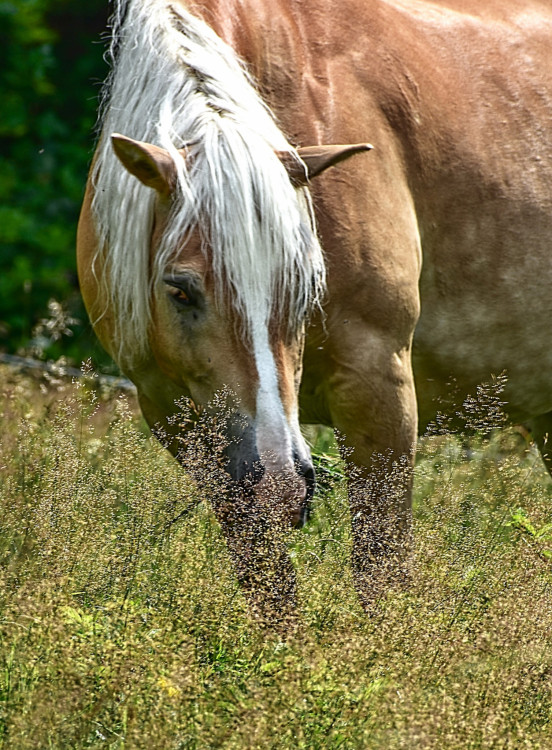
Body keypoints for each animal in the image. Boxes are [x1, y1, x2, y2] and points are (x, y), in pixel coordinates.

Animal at [76, 0, 552, 620]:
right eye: (180, 291)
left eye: (305, 287)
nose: (280, 480)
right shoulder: (175, 417)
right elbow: (269, 588)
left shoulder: (379, 385)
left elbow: (383, 572)